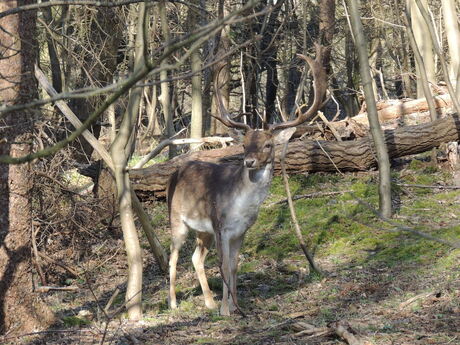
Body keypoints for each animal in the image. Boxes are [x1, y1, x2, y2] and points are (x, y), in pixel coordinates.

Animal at [166, 47, 328, 316]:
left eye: (268, 144)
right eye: (244, 144)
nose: (249, 161)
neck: (240, 207)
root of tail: (175, 173)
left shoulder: (241, 231)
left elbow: (234, 266)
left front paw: (236, 305)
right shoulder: (220, 226)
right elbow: (223, 265)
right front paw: (225, 310)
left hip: (203, 230)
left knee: (196, 258)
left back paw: (208, 302)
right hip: (178, 220)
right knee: (173, 255)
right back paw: (173, 303)